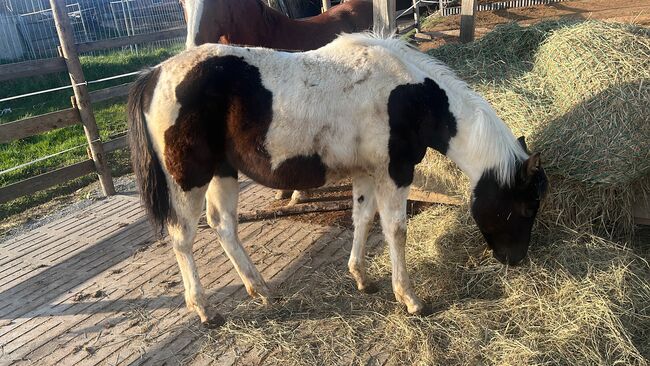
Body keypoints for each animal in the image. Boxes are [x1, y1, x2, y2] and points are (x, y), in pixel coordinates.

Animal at [128, 33, 548, 328]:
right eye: (527, 207)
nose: (516, 260)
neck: (409, 95)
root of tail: (154, 75)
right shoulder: (395, 172)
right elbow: (396, 230)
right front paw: (410, 299)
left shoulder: (367, 172)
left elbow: (362, 219)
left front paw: (362, 278)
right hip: (189, 180)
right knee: (184, 239)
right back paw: (204, 310)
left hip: (223, 172)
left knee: (223, 226)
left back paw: (261, 290)